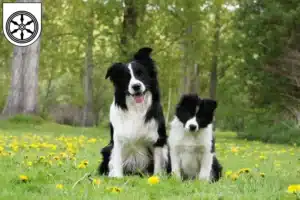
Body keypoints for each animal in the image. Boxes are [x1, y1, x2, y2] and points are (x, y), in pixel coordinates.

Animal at [98, 47, 170, 177]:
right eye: (126, 77)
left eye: (141, 74)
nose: (136, 86)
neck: (137, 108)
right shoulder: (117, 139)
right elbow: (117, 160)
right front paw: (117, 177)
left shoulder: (158, 139)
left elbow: (158, 163)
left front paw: (156, 177)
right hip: (106, 149)